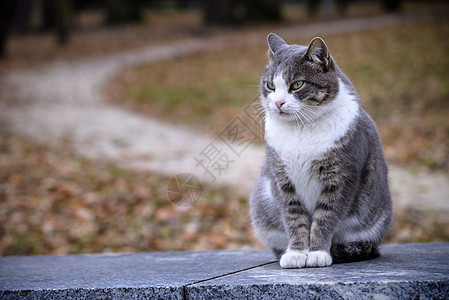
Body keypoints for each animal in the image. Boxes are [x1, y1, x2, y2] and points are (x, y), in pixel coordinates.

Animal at [250, 34, 390, 268]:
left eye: (297, 85)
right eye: (270, 85)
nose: (278, 102)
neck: (301, 129)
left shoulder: (341, 178)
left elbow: (326, 217)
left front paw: (317, 252)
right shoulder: (282, 180)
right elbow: (293, 217)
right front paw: (297, 253)